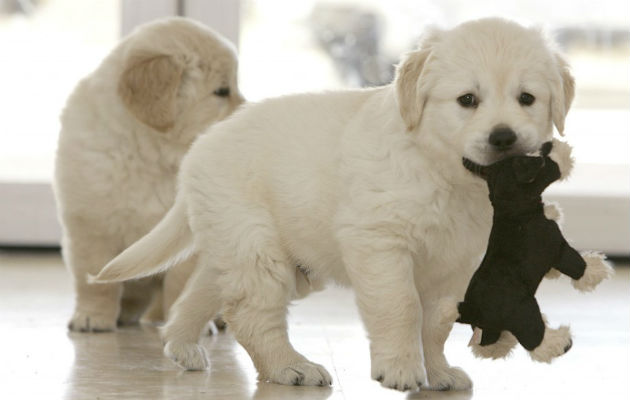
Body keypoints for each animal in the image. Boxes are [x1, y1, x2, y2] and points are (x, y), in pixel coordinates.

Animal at [54, 16, 244, 332]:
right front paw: (92, 317)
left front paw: (185, 325)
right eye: (221, 91)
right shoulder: (92, 225)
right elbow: (96, 282)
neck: (151, 154)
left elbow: (179, 285)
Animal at [95, 18, 576, 390]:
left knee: (203, 292)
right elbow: (402, 307)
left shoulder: (454, 264)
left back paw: (183, 346)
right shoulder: (380, 242)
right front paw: (400, 370)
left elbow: (436, 324)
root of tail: (197, 152)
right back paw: (290, 367)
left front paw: (437, 372)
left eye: (527, 98)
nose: (504, 138)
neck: (442, 172)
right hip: (258, 246)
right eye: (467, 100)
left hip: (237, 248)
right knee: (249, 314)